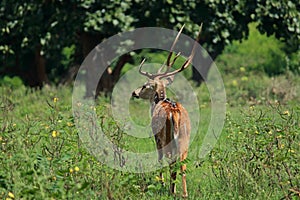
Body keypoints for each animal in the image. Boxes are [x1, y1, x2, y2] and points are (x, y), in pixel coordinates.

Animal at [131, 24, 202, 198]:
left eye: (145, 85)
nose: (134, 92)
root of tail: (174, 112)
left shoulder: (156, 137)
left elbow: (159, 158)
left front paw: (160, 182)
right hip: (185, 138)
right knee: (181, 163)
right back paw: (183, 193)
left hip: (166, 137)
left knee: (170, 161)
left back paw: (171, 189)